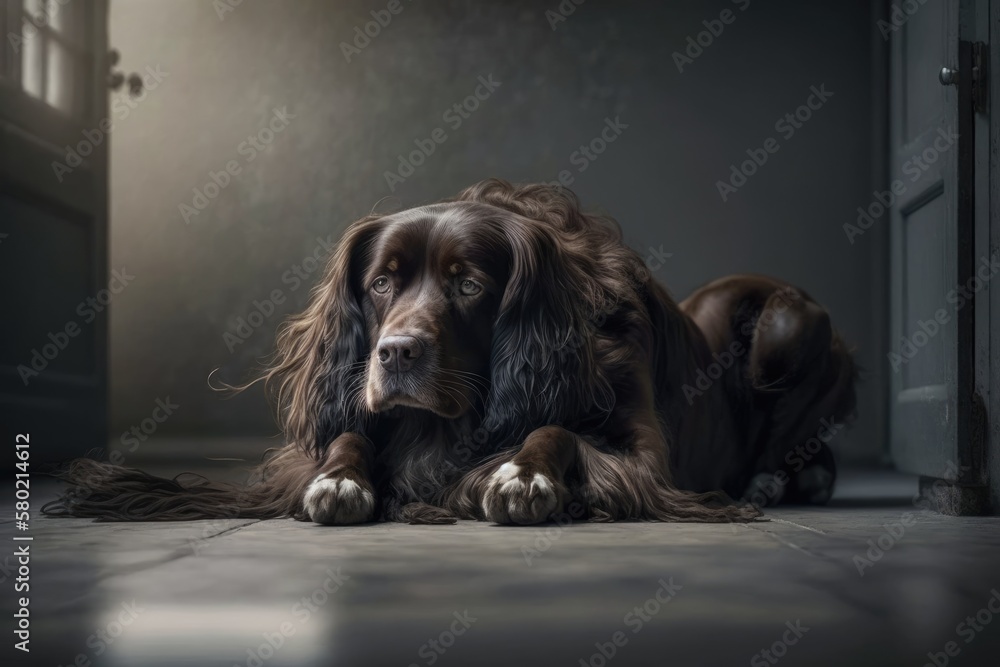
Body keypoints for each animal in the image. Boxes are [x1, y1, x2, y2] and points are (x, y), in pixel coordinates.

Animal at [45, 179, 860, 528]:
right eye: (380, 282)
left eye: (469, 283)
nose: (396, 353)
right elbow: (344, 438)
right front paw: (342, 481)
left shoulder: (642, 454)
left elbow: (558, 427)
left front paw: (523, 475)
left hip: (787, 326)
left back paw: (777, 482)